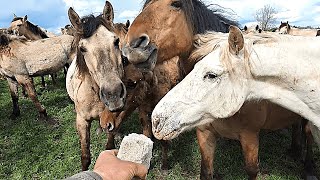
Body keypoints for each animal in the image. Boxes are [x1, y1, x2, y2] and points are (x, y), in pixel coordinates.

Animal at [65, 1, 130, 170]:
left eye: (116, 41)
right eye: (82, 48)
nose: (113, 95)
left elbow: (109, 147)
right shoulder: (81, 121)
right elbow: (85, 157)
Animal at [151, 26, 320, 177]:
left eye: (211, 75)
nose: (157, 120)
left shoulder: (250, 136)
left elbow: (252, 171)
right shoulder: (205, 134)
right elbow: (206, 171)